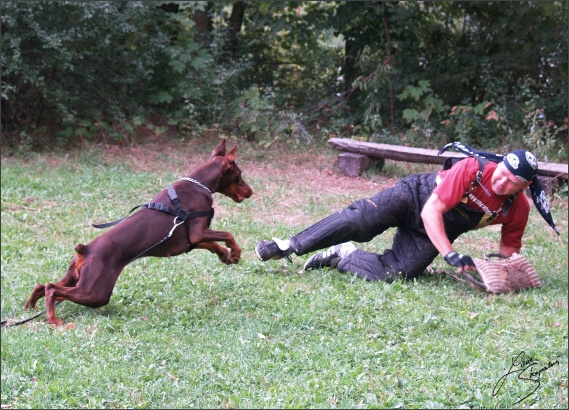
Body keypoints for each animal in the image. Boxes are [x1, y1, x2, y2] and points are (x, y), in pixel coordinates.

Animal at [24, 141, 251, 326]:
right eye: (239, 176)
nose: (251, 192)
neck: (200, 184)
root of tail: (85, 250)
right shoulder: (197, 232)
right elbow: (227, 234)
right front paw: (236, 252)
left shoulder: (188, 240)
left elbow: (212, 243)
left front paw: (226, 255)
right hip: (95, 292)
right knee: (52, 289)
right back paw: (53, 319)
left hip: (76, 278)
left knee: (43, 285)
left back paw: (30, 308)